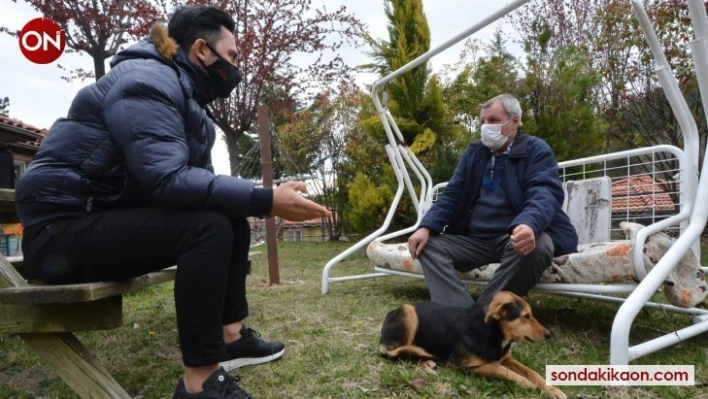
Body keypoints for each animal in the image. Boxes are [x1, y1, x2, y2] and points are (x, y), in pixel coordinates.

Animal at [378, 290, 568, 399]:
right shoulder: (464, 366)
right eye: (525, 316)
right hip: (407, 311)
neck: (492, 334)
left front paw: (553, 390)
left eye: (531, 315)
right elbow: (501, 369)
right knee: (395, 351)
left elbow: (532, 372)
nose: (549, 335)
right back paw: (424, 361)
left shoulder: (507, 359)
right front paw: (527, 385)